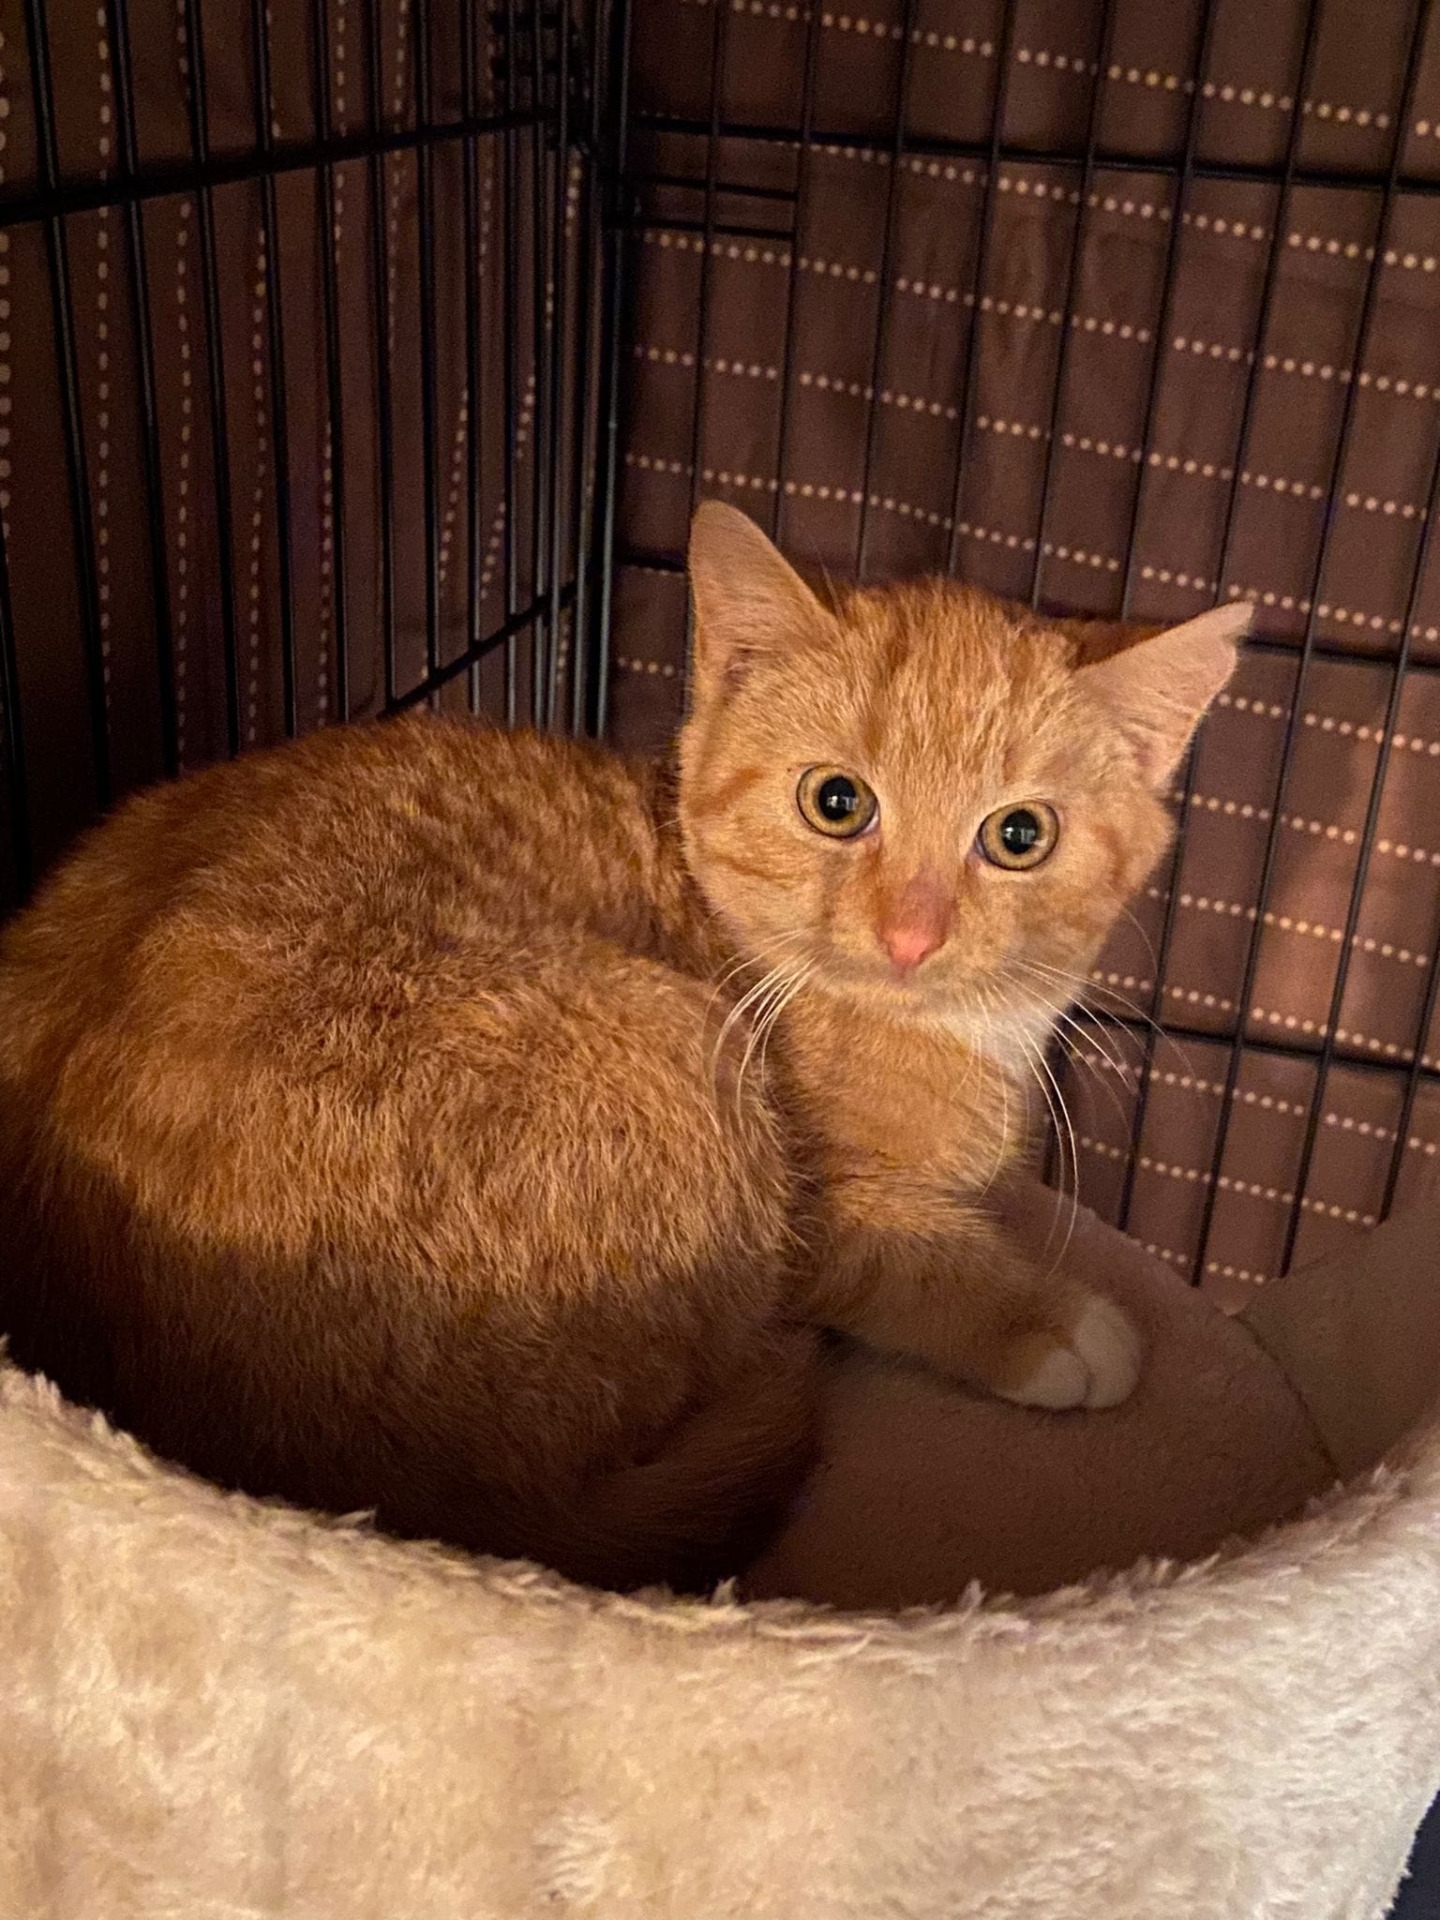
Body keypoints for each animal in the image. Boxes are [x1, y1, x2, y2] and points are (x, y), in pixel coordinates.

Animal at [0, 502, 1247, 1592]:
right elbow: (907, 1253)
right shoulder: (813, 1217)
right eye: (837, 803)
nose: (912, 932)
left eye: (1020, 835)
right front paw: (1050, 1322)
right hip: (683, 1060)